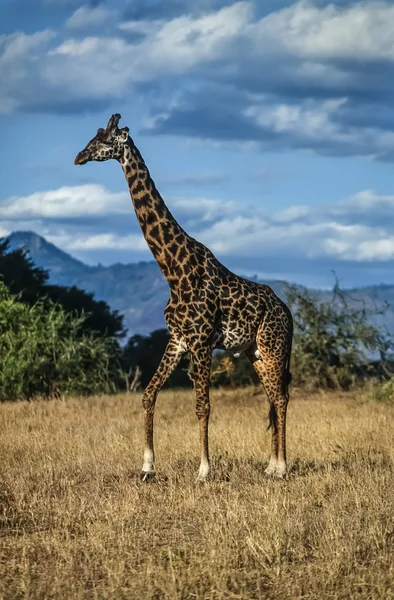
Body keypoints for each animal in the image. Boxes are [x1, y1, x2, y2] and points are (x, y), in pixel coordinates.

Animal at [75, 113, 294, 482]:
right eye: (93, 137)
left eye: (103, 140)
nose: (79, 157)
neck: (174, 271)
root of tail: (288, 312)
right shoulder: (178, 339)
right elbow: (148, 395)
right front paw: (147, 467)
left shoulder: (202, 342)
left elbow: (202, 405)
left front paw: (204, 470)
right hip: (255, 352)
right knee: (273, 397)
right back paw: (269, 465)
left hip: (274, 346)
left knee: (280, 397)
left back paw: (280, 468)